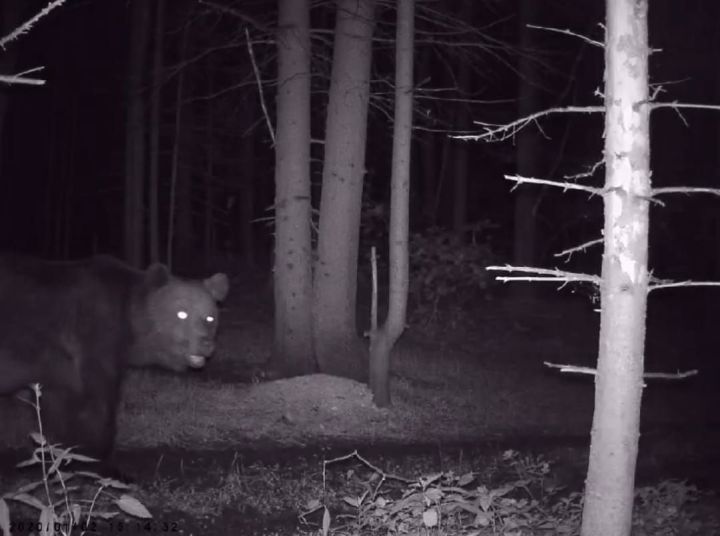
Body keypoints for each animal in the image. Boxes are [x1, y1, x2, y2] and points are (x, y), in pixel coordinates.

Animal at [0, 253, 228, 462]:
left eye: (210, 317)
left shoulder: (56, 371)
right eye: (181, 313)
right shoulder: (92, 340)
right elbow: (96, 407)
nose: (205, 343)